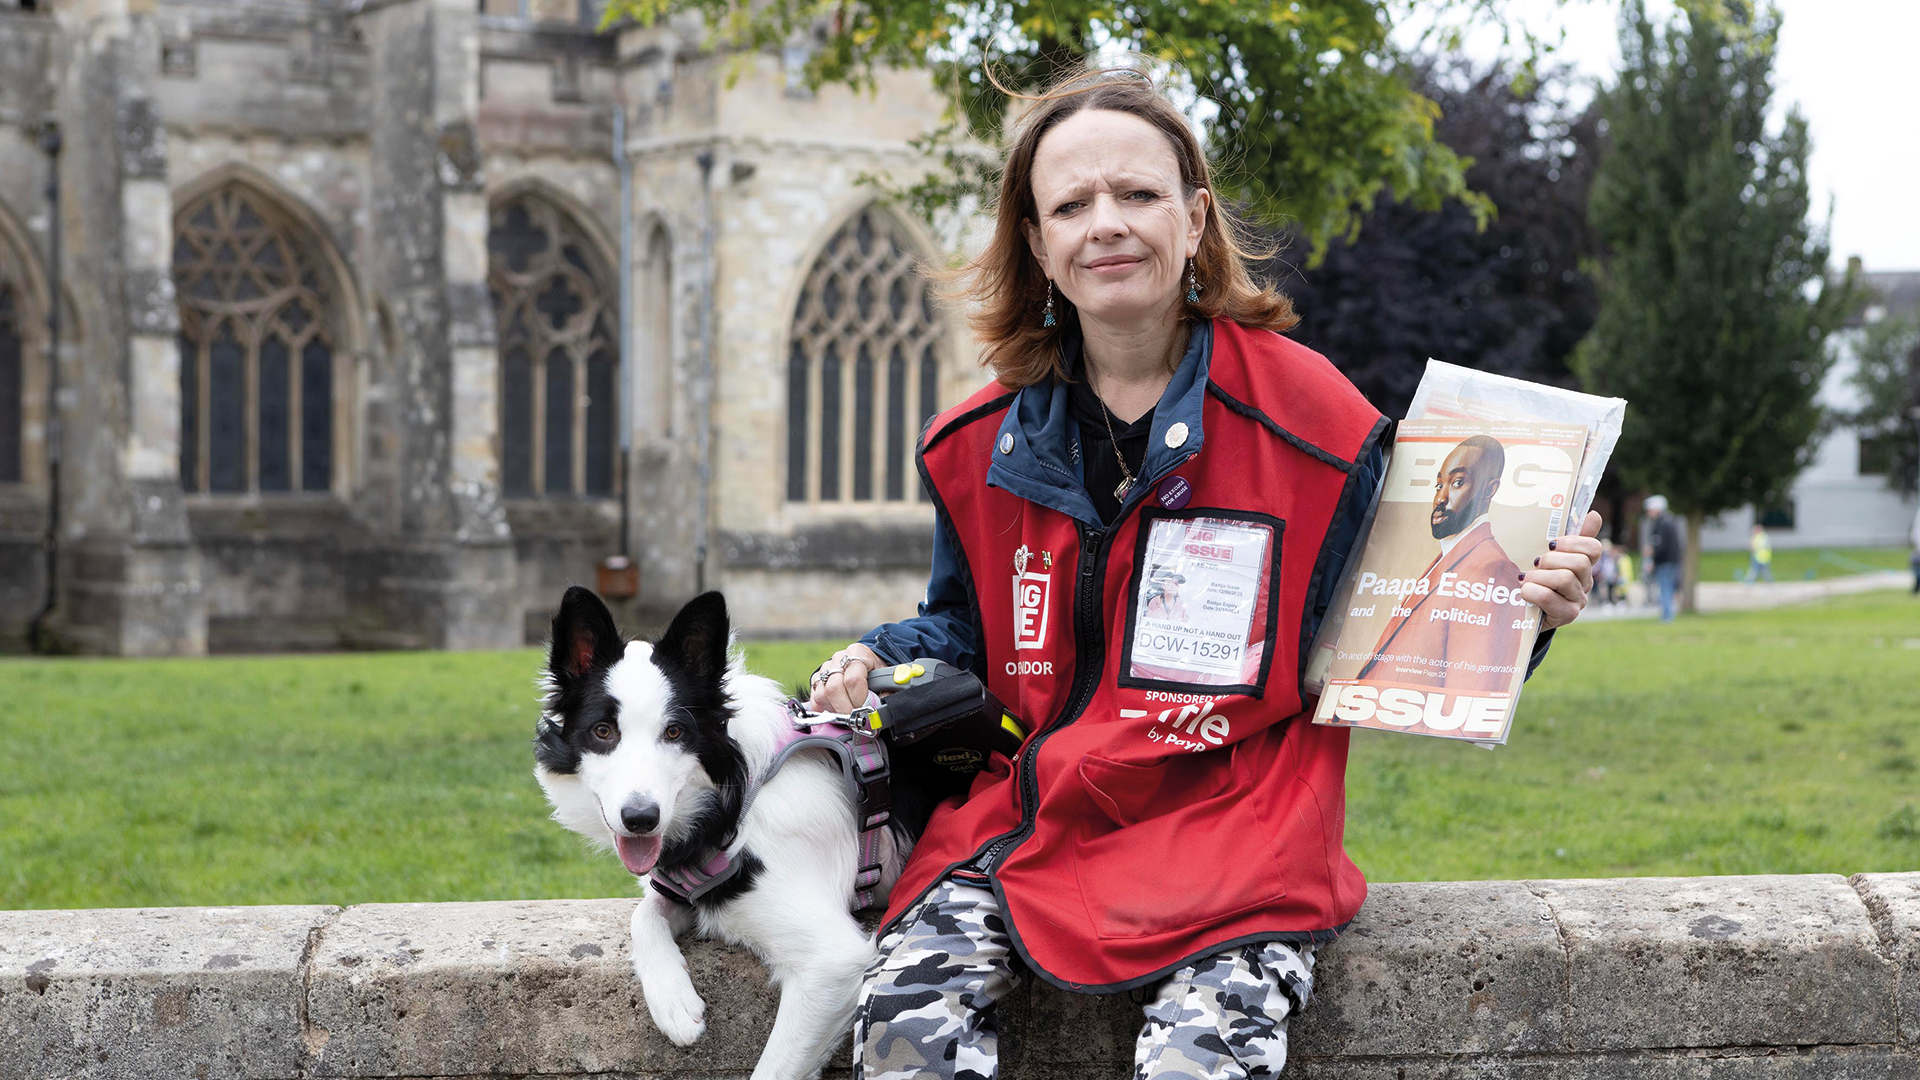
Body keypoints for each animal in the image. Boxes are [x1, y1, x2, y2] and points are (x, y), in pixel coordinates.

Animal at [529, 584, 910, 1076]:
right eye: (602, 731)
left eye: (675, 732)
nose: (640, 818)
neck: (735, 803)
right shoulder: (684, 886)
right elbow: (644, 913)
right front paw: (673, 1002)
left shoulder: (834, 963)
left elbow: (774, 1068)